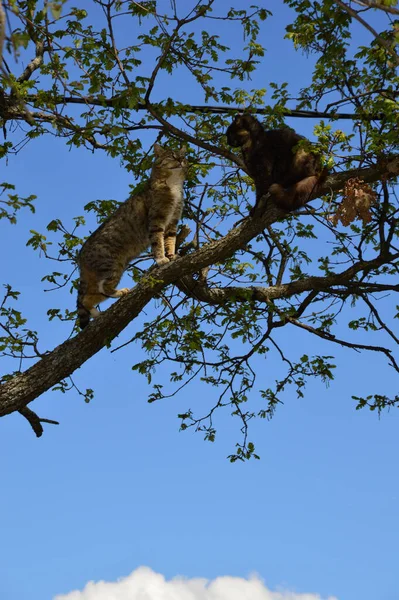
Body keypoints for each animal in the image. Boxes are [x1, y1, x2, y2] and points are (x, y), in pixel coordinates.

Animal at [77, 144, 188, 328]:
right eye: (172, 156)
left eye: (183, 156)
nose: (180, 160)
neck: (172, 184)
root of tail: (80, 255)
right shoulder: (157, 220)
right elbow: (158, 242)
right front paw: (161, 259)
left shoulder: (172, 222)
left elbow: (170, 240)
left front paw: (172, 255)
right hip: (112, 266)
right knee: (101, 290)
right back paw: (119, 292)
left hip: (113, 269)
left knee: (88, 298)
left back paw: (97, 314)